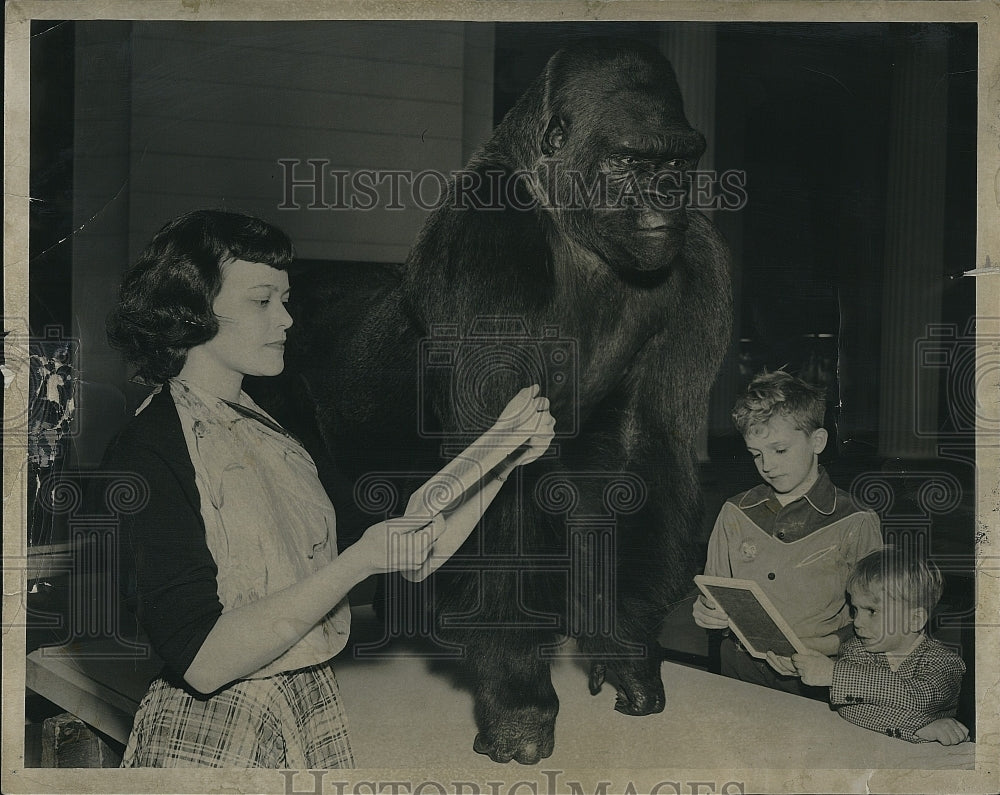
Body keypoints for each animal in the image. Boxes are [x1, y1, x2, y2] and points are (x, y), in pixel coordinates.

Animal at [270, 37, 732, 764]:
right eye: (632, 160)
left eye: (680, 162)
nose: (667, 195)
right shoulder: (489, 238)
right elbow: (496, 467)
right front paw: (517, 694)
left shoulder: (696, 258)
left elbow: (642, 448)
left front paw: (623, 643)